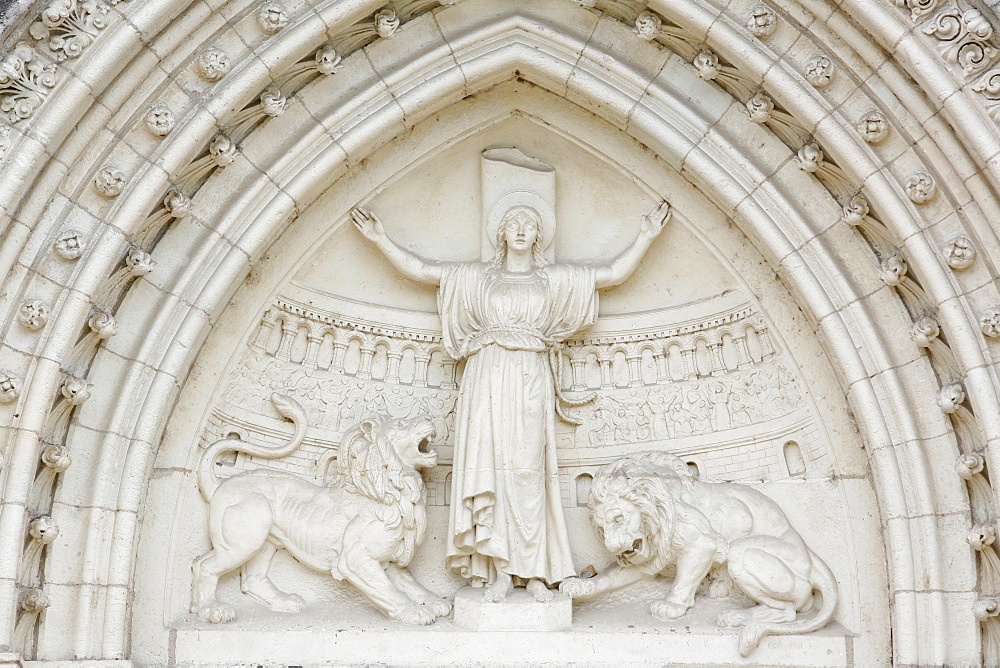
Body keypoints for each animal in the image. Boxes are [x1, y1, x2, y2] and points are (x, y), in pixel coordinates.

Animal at [191, 392, 450, 628]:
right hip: (247, 534)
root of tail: (220, 485)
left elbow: (410, 584)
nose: (429, 416)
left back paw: (283, 602)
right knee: (204, 566)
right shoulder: (355, 557)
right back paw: (211, 609)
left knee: (250, 579)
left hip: (265, 540)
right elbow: (388, 590)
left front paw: (435, 601)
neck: (393, 492)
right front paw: (413, 611)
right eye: (400, 424)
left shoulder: (389, 559)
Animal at [564, 452, 836, 656]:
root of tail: (811, 558)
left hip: (744, 554)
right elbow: (608, 579)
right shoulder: (645, 559)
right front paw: (580, 586)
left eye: (618, 518)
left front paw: (671, 606)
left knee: (792, 609)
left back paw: (736, 615)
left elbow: (685, 578)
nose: (612, 547)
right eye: (602, 529)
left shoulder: (701, 542)